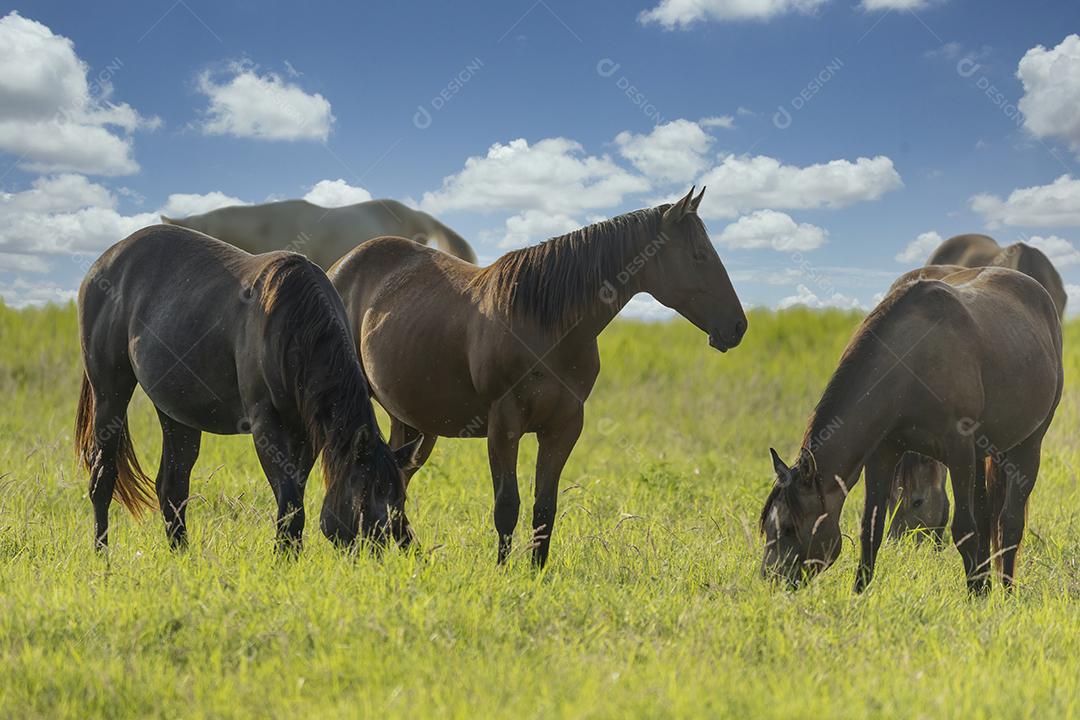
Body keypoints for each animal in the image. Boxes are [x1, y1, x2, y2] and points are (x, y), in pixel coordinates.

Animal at [75, 225, 416, 552]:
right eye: (363, 498)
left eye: (399, 500)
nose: (377, 553)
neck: (292, 324)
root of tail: (105, 262)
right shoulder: (266, 423)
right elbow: (290, 503)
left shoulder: (305, 431)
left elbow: (292, 499)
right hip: (109, 394)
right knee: (103, 478)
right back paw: (102, 555)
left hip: (176, 412)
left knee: (172, 484)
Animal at [328, 187, 747, 569]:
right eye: (699, 255)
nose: (737, 327)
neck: (545, 324)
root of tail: (338, 268)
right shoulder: (503, 425)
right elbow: (506, 505)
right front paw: (501, 571)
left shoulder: (563, 427)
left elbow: (545, 506)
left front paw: (536, 573)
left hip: (413, 422)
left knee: (399, 475)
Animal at [760, 267, 1062, 595]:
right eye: (768, 527)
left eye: (789, 528)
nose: (770, 581)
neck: (909, 363)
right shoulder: (883, 453)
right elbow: (871, 528)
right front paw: (858, 594)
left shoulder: (959, 452)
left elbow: (964, 530)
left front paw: (975, 598)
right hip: (982, 454)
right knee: (986, 519)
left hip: (1027, 446)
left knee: (1009, 523)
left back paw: (1005, 592)